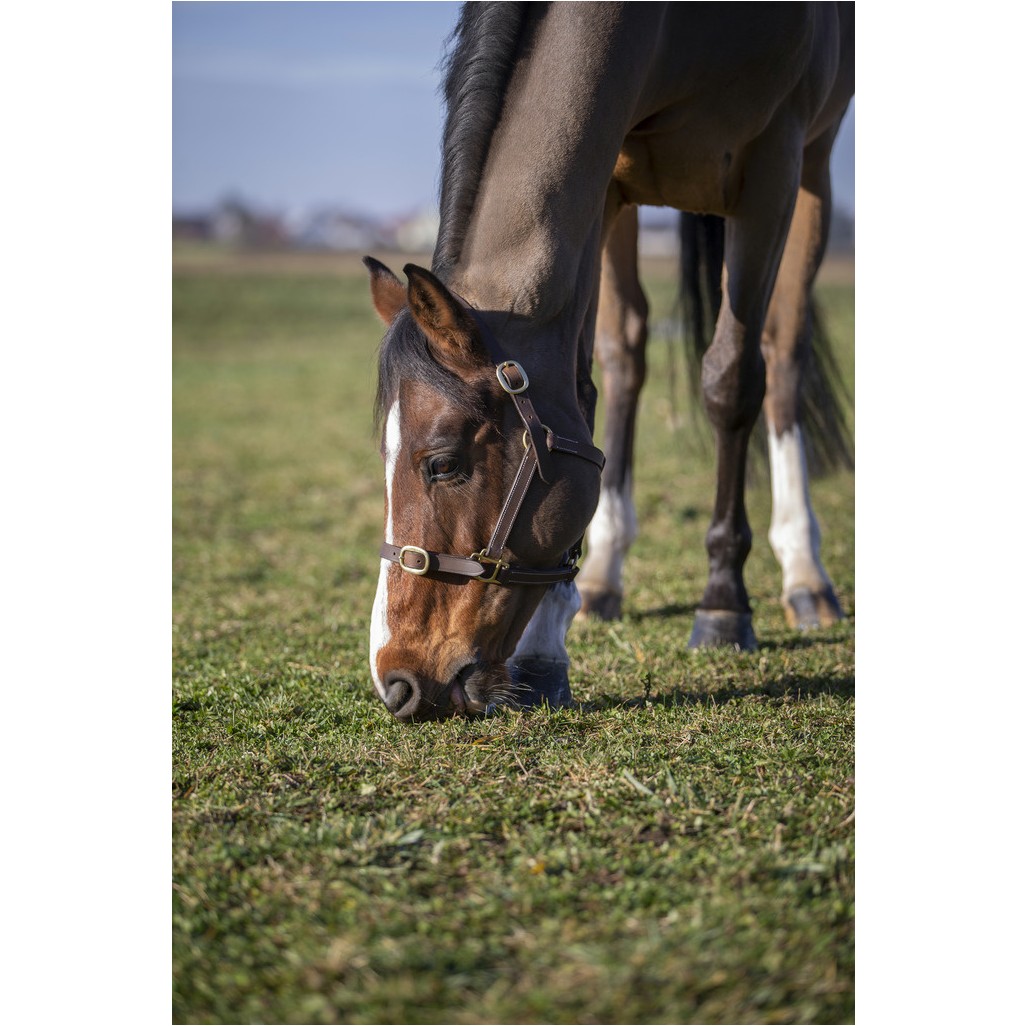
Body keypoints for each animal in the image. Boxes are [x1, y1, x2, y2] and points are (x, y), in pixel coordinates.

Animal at [365, 2, 853, 722]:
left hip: (812, 170)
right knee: (627, 356)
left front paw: (723, 604)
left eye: (442, 464)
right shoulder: (604, 182)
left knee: (783, 355)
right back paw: (603, 578)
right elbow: (585, 387)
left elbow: (733, 380)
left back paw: (803, 572)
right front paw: (547, 650)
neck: (680, 29)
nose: (394, 681)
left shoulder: (774, 166)